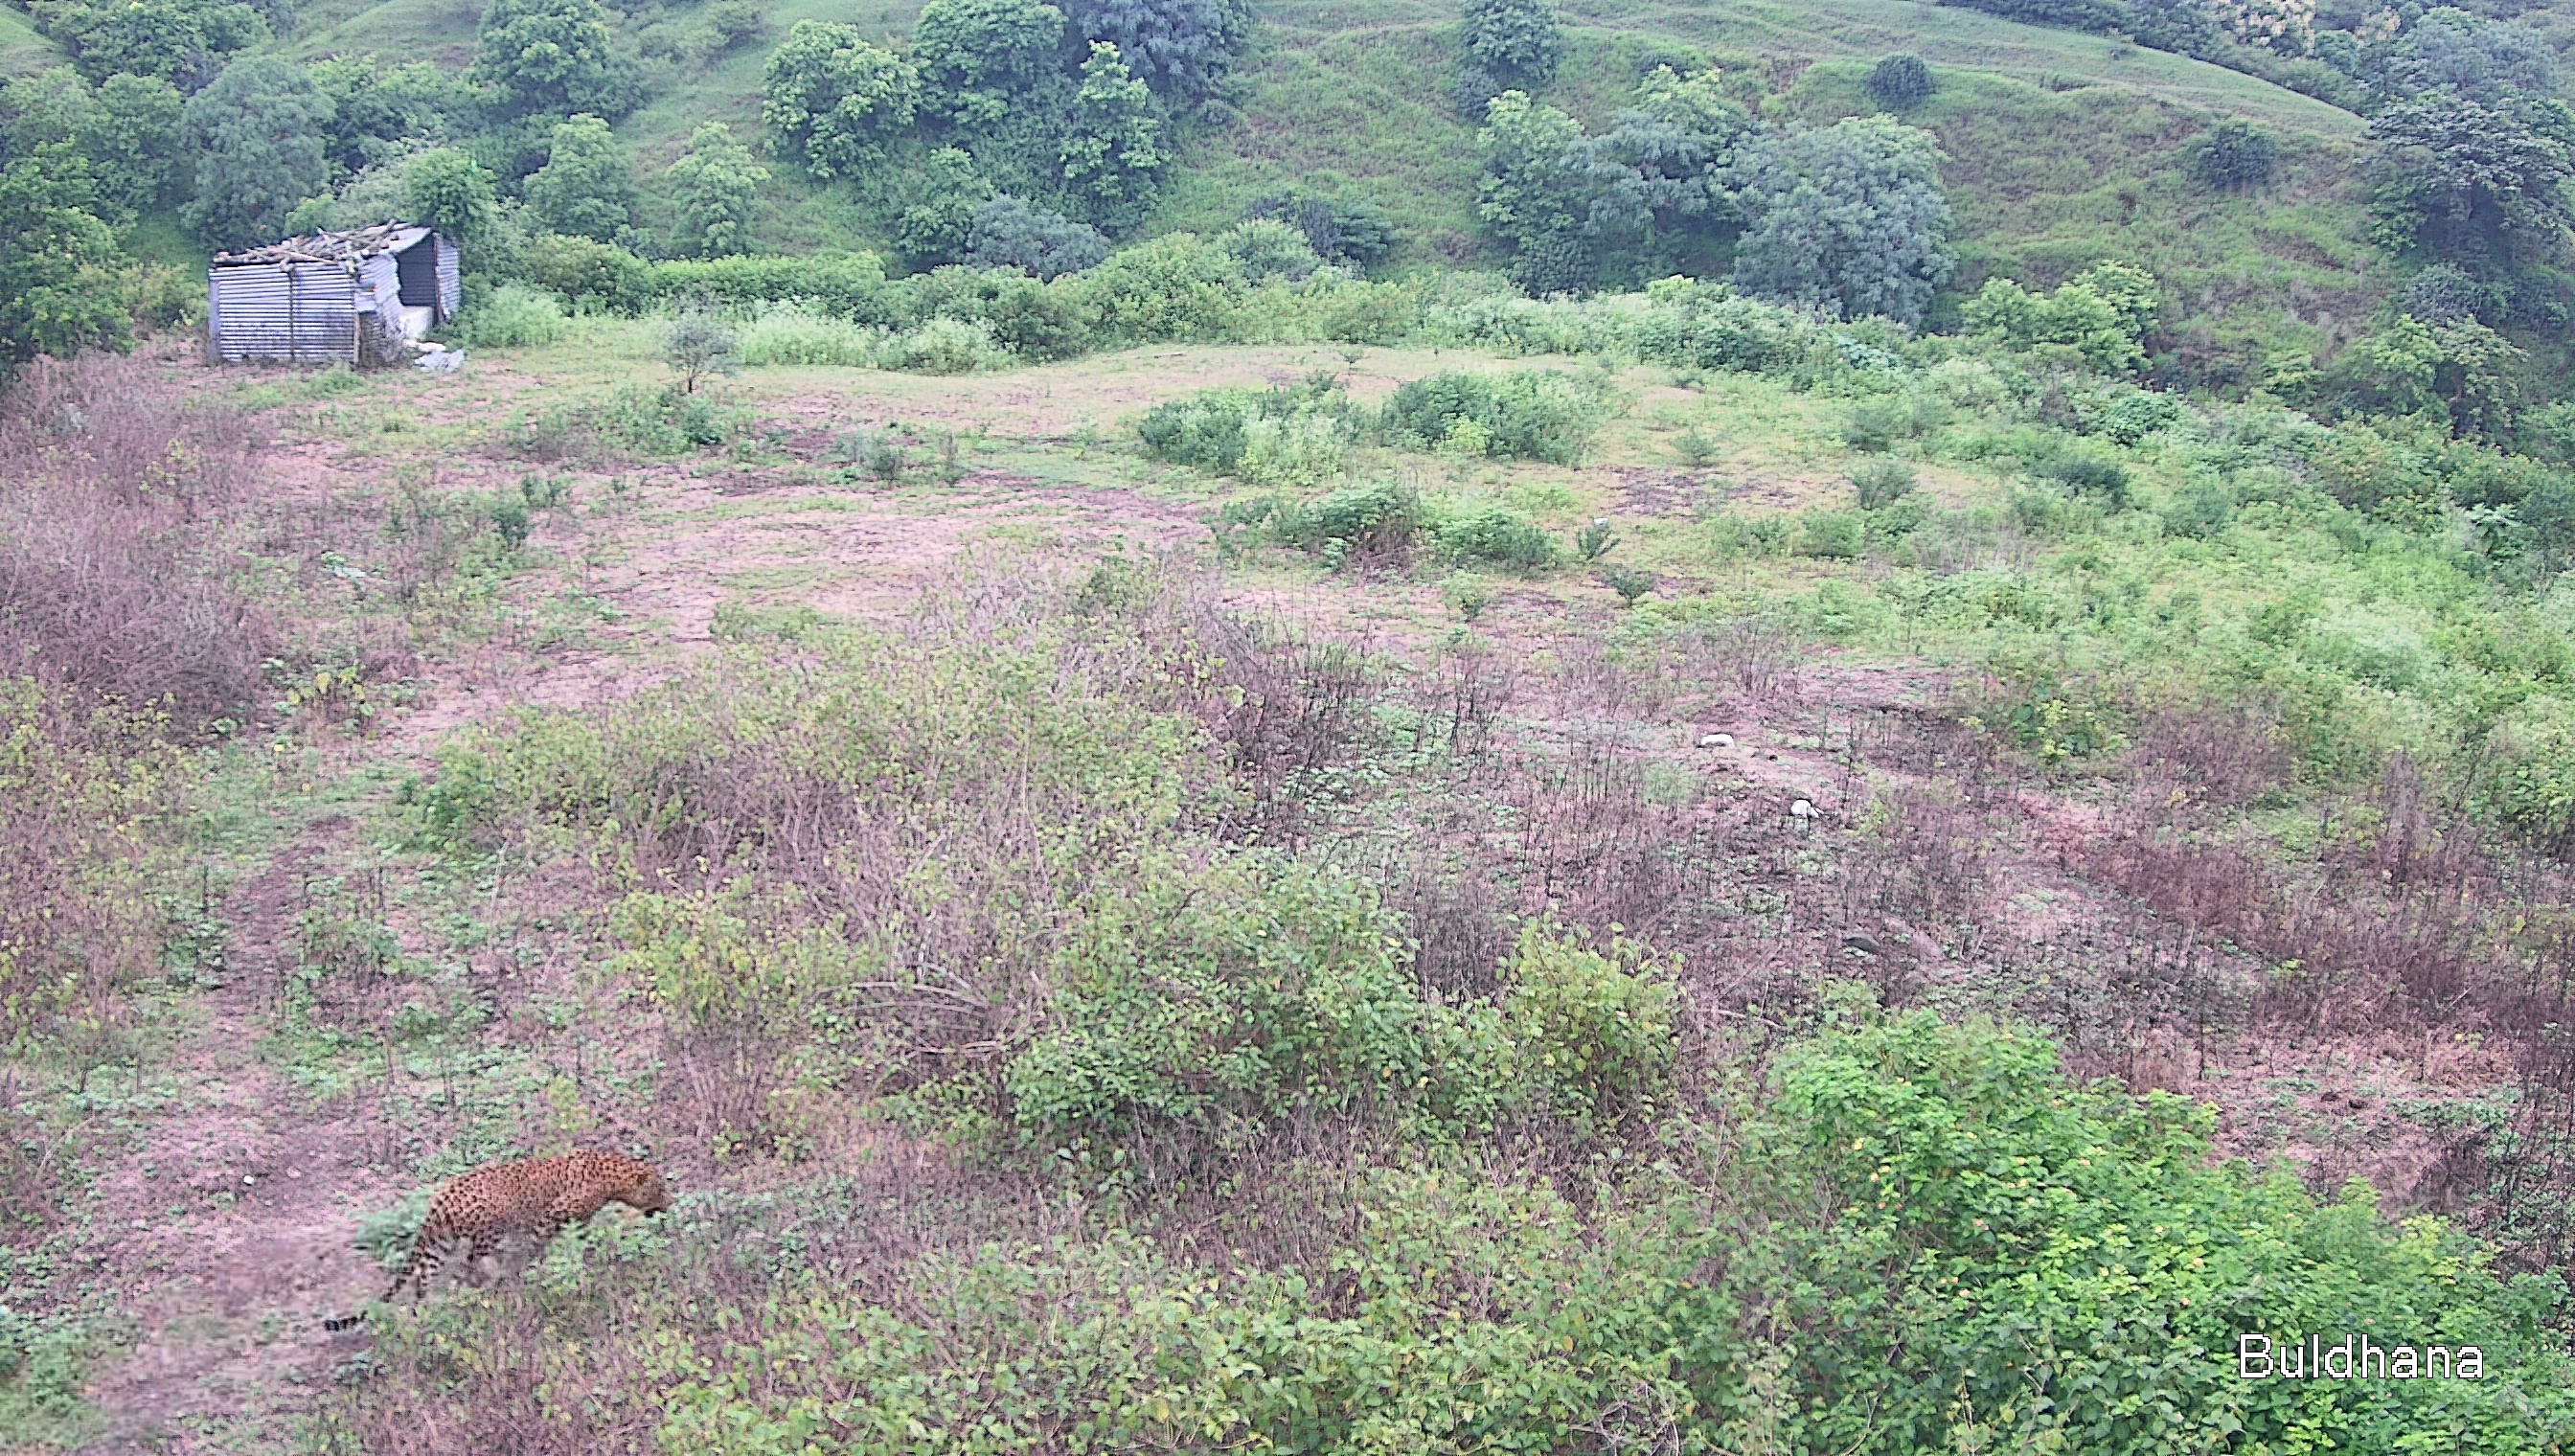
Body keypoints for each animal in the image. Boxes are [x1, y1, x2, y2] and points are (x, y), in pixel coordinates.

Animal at [323, 1149, 672, 1331]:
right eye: (660, 1189)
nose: (670, 1203)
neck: (613, 1178)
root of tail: (439, 1199)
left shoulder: (578, 1219)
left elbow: (580, 1242)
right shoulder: (552, 1213)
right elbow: (539, 1245)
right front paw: (534, 1270)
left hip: (440, 1244)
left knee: (425, 1274)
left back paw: (422, 1309)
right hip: (490, 1227)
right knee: (466, 1267)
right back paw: (480, 1289)